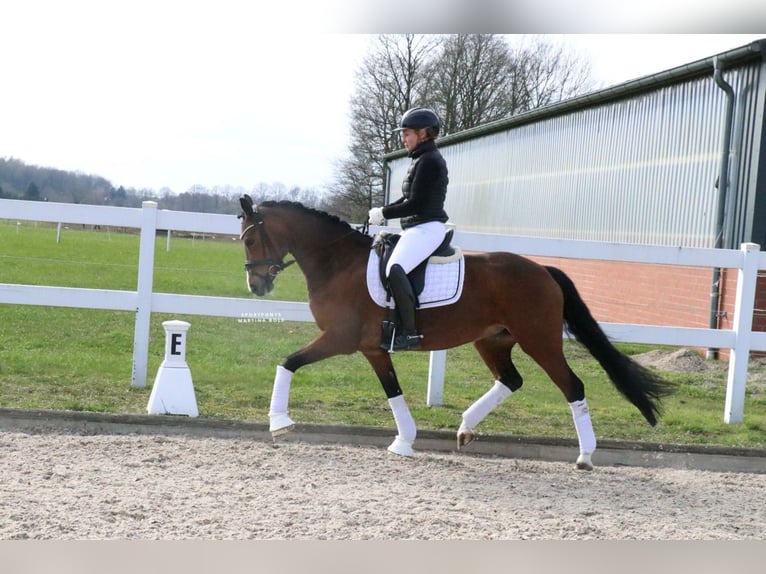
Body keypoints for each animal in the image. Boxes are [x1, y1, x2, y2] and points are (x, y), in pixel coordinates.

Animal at [237, 195, 676, 470]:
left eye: (252, 238)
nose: (256, 286)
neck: (338, 262)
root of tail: (543, 269)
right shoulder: (373, 349)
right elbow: (392, 390)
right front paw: (404, 441)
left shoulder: (340, 339)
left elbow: (287, 363)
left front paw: (279, 423)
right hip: (492, 340)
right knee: (510, 380)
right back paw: (465, 428)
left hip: (539, 341)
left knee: (573, 386)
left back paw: (585, 457)